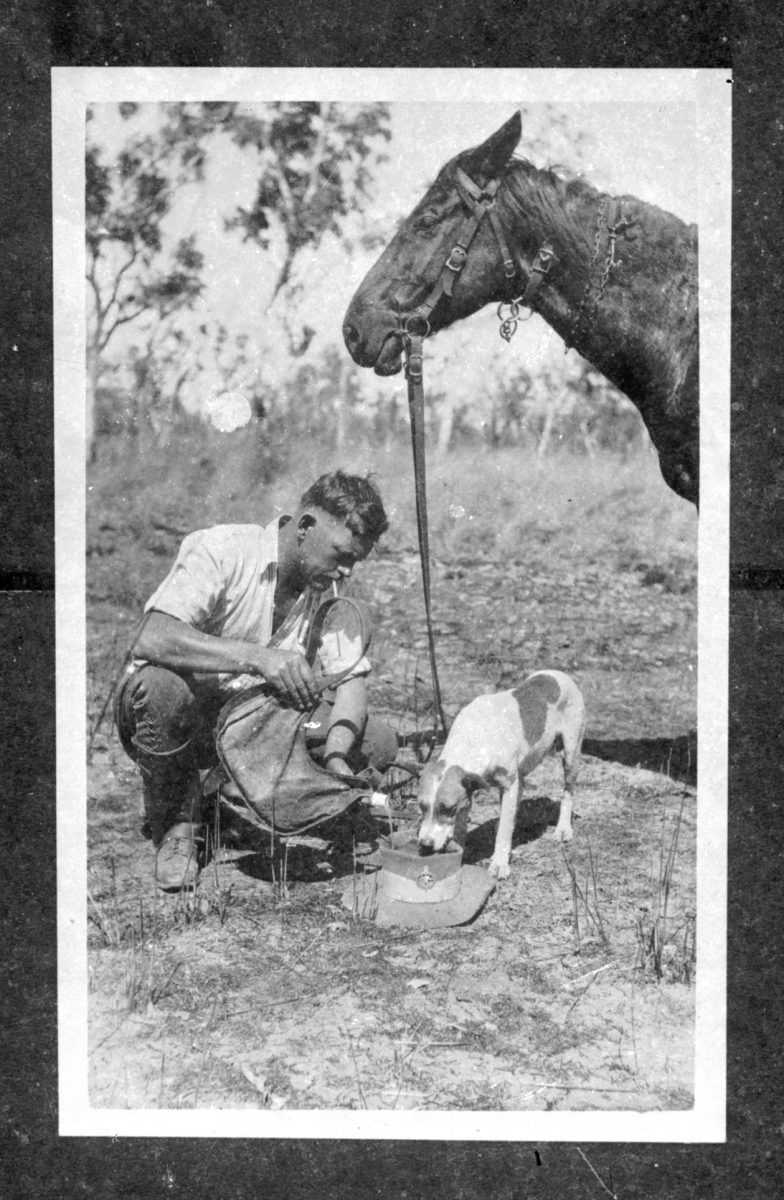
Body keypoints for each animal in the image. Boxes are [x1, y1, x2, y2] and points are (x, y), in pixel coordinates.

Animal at [417, 672, 583, 878]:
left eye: (447, 809)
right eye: (421, 807)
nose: (425, 845)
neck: (473, 737)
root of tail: (561, 675)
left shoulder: (508, 784)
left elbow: (503, 832)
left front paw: (499, 863)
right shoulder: (468, 794)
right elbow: (462, 826)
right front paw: (458, 851)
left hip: (571, 755)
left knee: (567, 792)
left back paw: (563, 829)